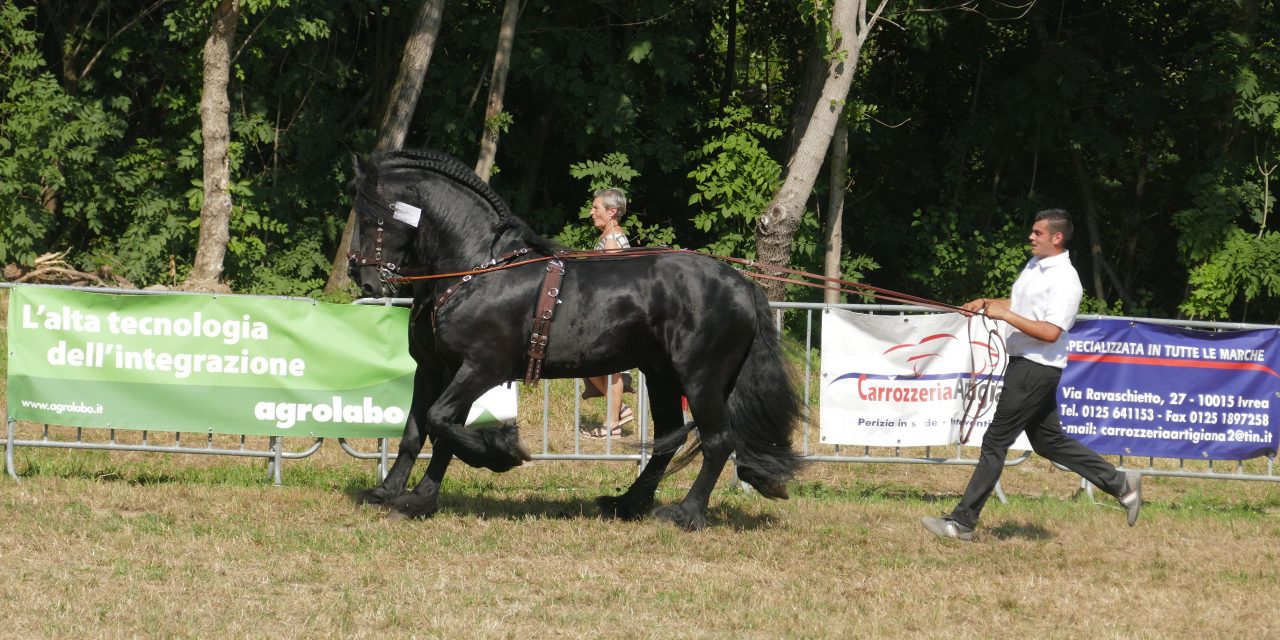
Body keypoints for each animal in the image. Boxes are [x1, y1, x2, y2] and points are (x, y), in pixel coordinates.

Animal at [345, 149, 793, 529]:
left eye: (370, 219)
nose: (363, 278)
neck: (479, 270)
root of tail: (741, 283)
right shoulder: (434, 369)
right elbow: (417, 430)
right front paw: (392, 492)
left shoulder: (479, 368)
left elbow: (441, 425)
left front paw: (499, 455)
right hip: (663, 375)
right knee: (670, 437)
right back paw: (627, 503)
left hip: (700, 378)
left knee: (718, 440)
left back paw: (686, 513)